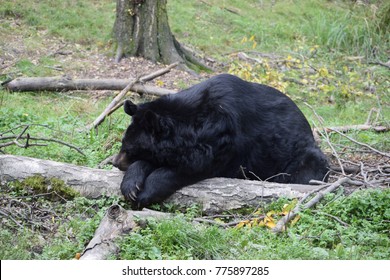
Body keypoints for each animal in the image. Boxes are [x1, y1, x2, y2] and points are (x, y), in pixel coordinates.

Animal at [112, 73, 330, 209]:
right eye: (124, 145)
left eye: (129, 149)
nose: (115, 162)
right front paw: (131, 187)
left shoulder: (225, 141)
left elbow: (190, 167)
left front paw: (145, 194)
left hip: (303, 156)